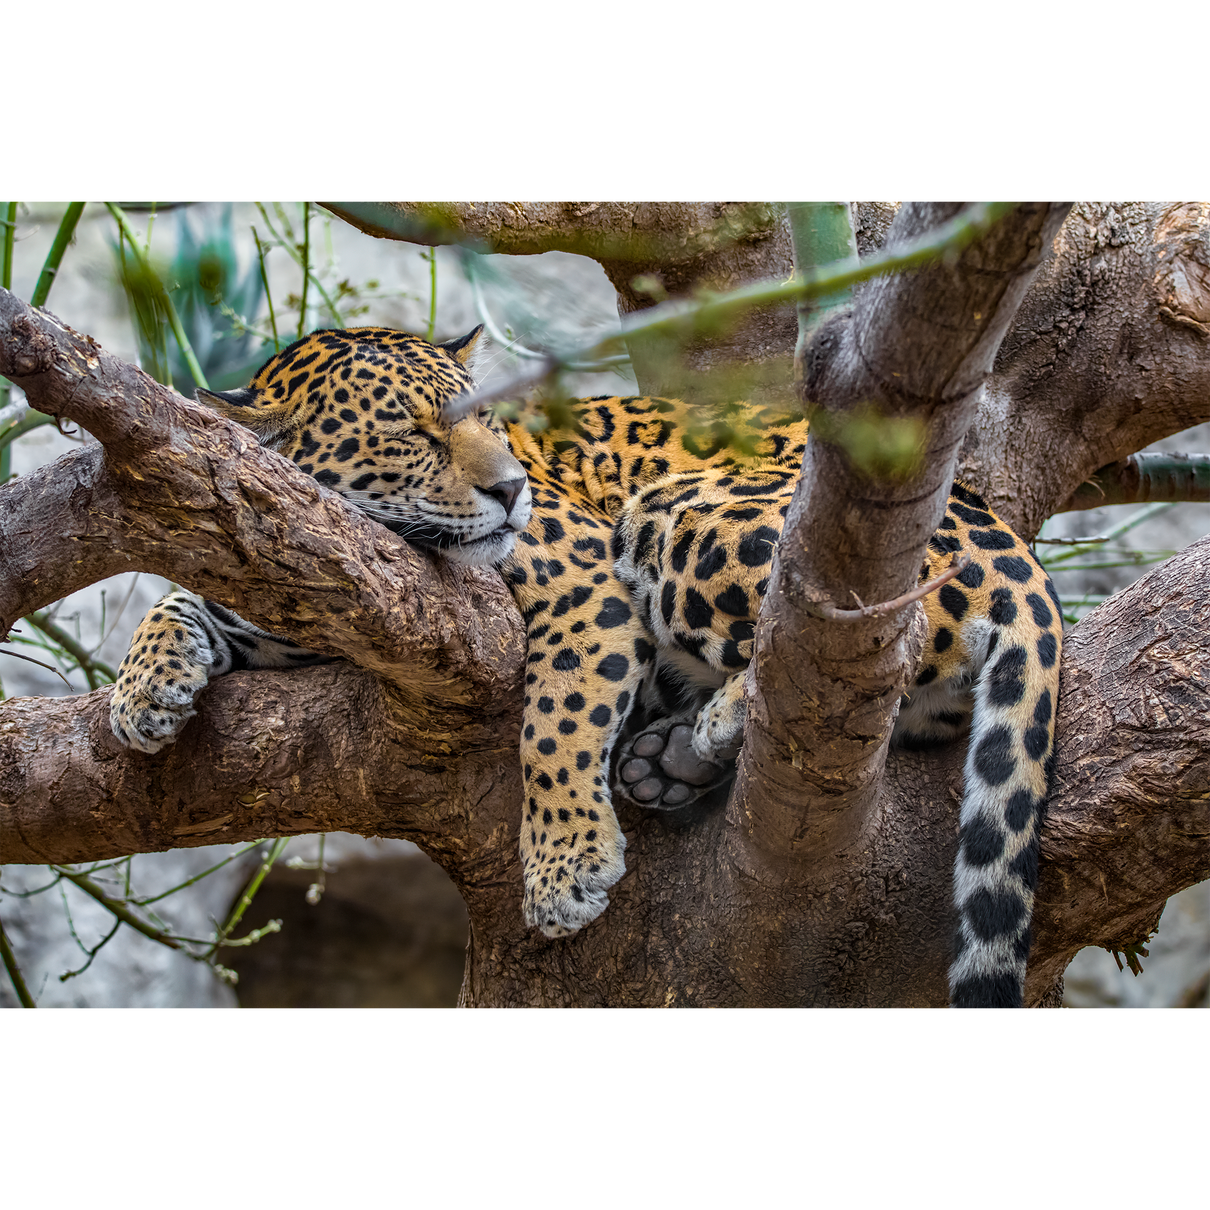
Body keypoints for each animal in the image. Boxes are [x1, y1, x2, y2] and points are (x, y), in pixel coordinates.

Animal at [109, 324, 1062, 1011]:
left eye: (488, 419)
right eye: (413, 434)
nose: (513, 490)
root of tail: (1017, 553)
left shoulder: (586, 584)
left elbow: (553, 722)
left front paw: (566, 865)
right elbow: (179, 599)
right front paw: (141, 694)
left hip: (682, 514)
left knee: (870, 645)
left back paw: (714, 725)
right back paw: (673, 758)